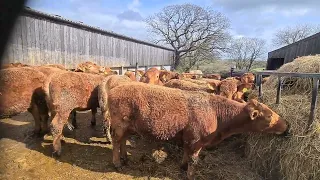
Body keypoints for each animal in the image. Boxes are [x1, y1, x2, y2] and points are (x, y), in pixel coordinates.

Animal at [107, 84, 290, 180]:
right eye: (269, 116)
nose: (287, 125)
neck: (216, 112)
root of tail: (115, 89)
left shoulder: (190, 139)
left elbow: (186, 154)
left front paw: (182, 166)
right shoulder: (196, 141)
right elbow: (194, 160)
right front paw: (190, 174)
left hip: (128, 127)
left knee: (122, 142)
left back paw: (125, 158)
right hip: (119, 125)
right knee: (116, 142)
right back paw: (117, 162)